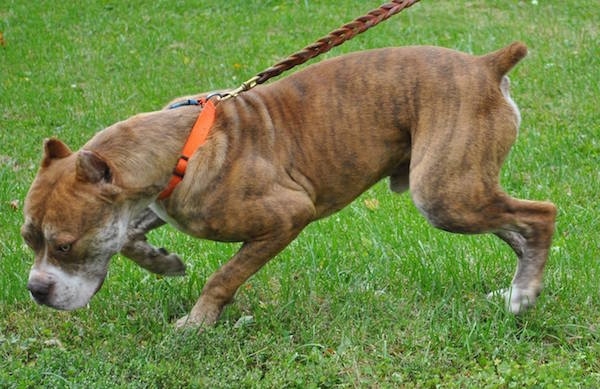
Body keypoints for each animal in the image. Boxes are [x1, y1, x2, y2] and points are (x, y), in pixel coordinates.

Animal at [23, 42, 556, 328]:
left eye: (64, 246)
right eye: (30, 240)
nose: (35, 290)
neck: (180, 148)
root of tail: (486, 64)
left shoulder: (285, 218)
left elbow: (224, 277)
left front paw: (197, 323)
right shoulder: (156, 204)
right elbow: (130, 237)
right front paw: (164, 262)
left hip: (444, 194)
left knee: (540, 215)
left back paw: (524, 294)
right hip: (463, 190)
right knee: (517, 229)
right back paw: (515, 291)